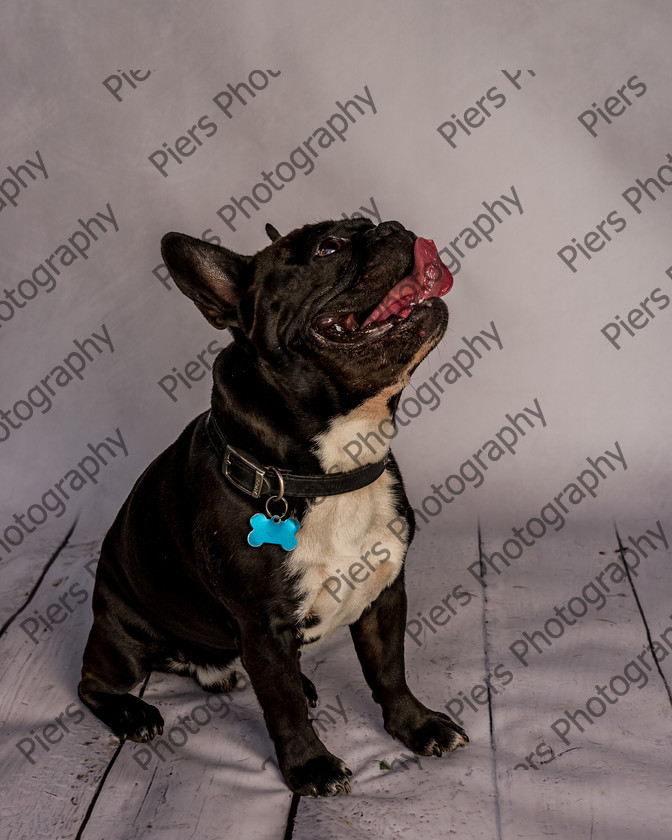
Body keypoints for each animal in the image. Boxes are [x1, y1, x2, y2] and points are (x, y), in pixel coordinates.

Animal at [79, 217, 468, 796]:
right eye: (328, 248)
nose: (395, 227)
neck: (332, 470)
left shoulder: (385, 595)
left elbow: (389, 670)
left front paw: (415, 726)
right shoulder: (262, 627)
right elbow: (282, 708)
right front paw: (310, 765)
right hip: (122, 639)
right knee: (93, 683)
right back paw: (133, 713)